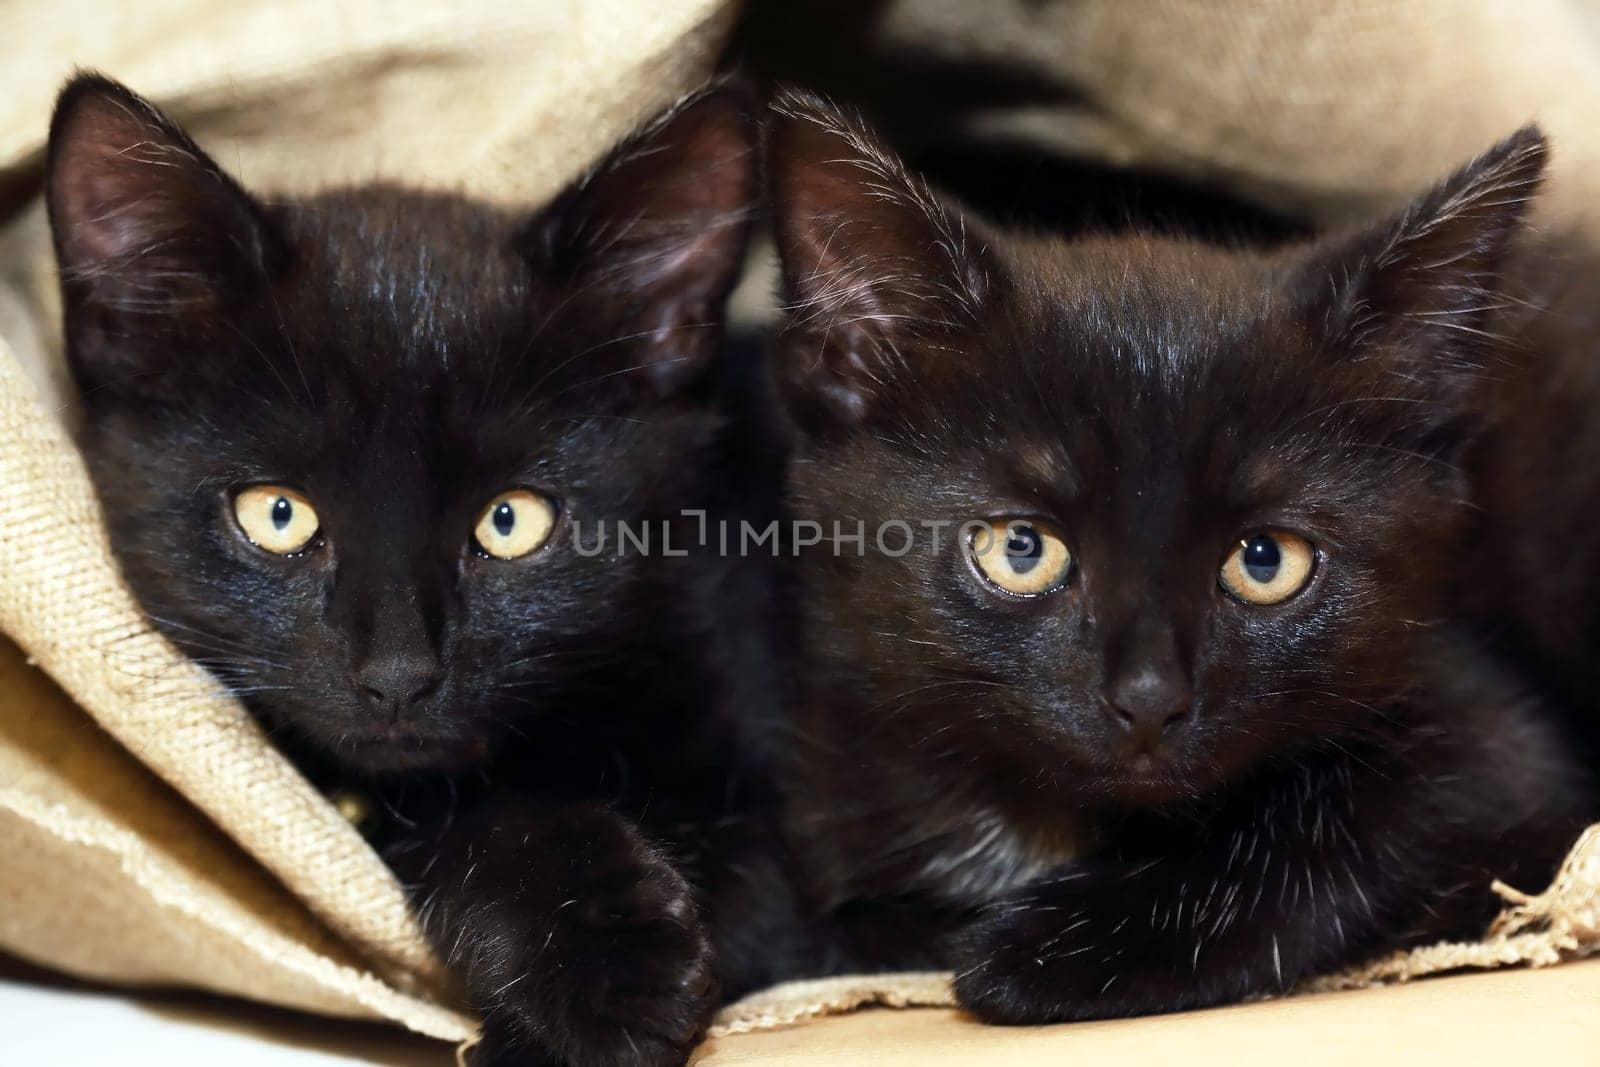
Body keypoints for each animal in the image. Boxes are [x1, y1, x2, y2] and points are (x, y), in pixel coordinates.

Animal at [755, 95, 1593, 1023]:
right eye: (1020, 548)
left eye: (1265, 560)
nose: (1150, 697)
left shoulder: (1503, 751)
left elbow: (1370, 826)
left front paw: (1051, 950)